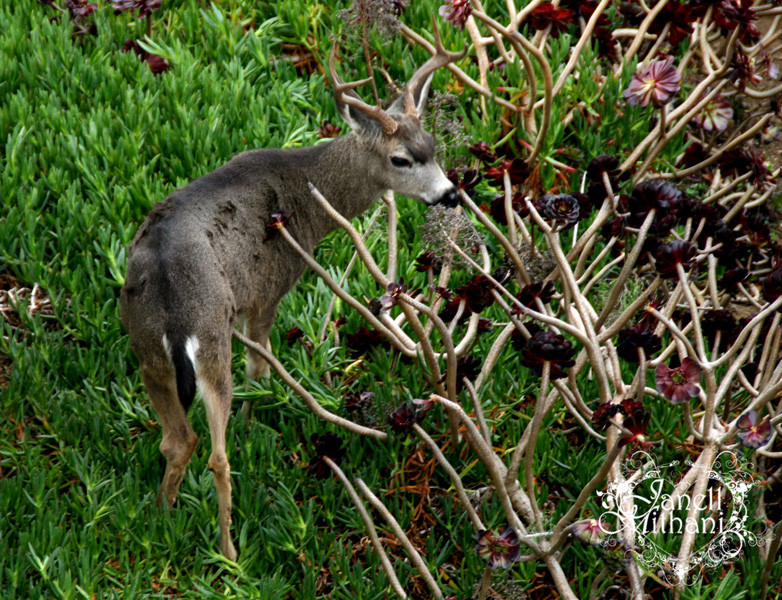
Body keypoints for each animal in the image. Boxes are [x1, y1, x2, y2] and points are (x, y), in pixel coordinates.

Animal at [119, 29, 466, 560]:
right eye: (400, 159)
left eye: (433, 145)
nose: (449, 194)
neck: (308, 198)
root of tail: (170, 306)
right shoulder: (267, 290)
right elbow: (260, 367)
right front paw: (249, 426)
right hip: (210, 337)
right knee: (214, 452)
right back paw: (229, 553)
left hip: (146, 349)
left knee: (176, 441)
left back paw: (162, 517)